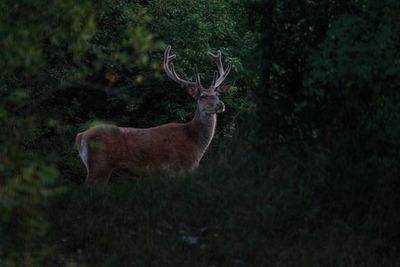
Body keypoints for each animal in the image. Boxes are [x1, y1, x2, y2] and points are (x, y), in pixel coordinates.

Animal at [75, 45, 231, 184]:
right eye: (203, 96)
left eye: (217, 94)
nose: (221, 105)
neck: (194, 143)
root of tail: (82, 135)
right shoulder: (177, 168)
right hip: (100, 166)